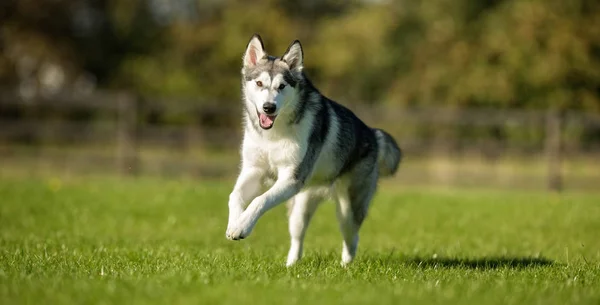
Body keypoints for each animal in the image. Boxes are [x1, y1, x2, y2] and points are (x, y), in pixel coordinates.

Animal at [225, 33, 404, 266]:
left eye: (282, 86)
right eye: (259, 83)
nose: (269, 107)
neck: (274, 134)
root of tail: (373, 134)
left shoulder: (291, 179)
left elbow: (260, 200)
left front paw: (242, 227)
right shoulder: (254, 170)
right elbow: (235, 195)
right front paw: (235, 223)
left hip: (348, 209)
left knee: (352, 237)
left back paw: (345, 266)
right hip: (300, 206)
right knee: (298, 235)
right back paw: (291, 265)